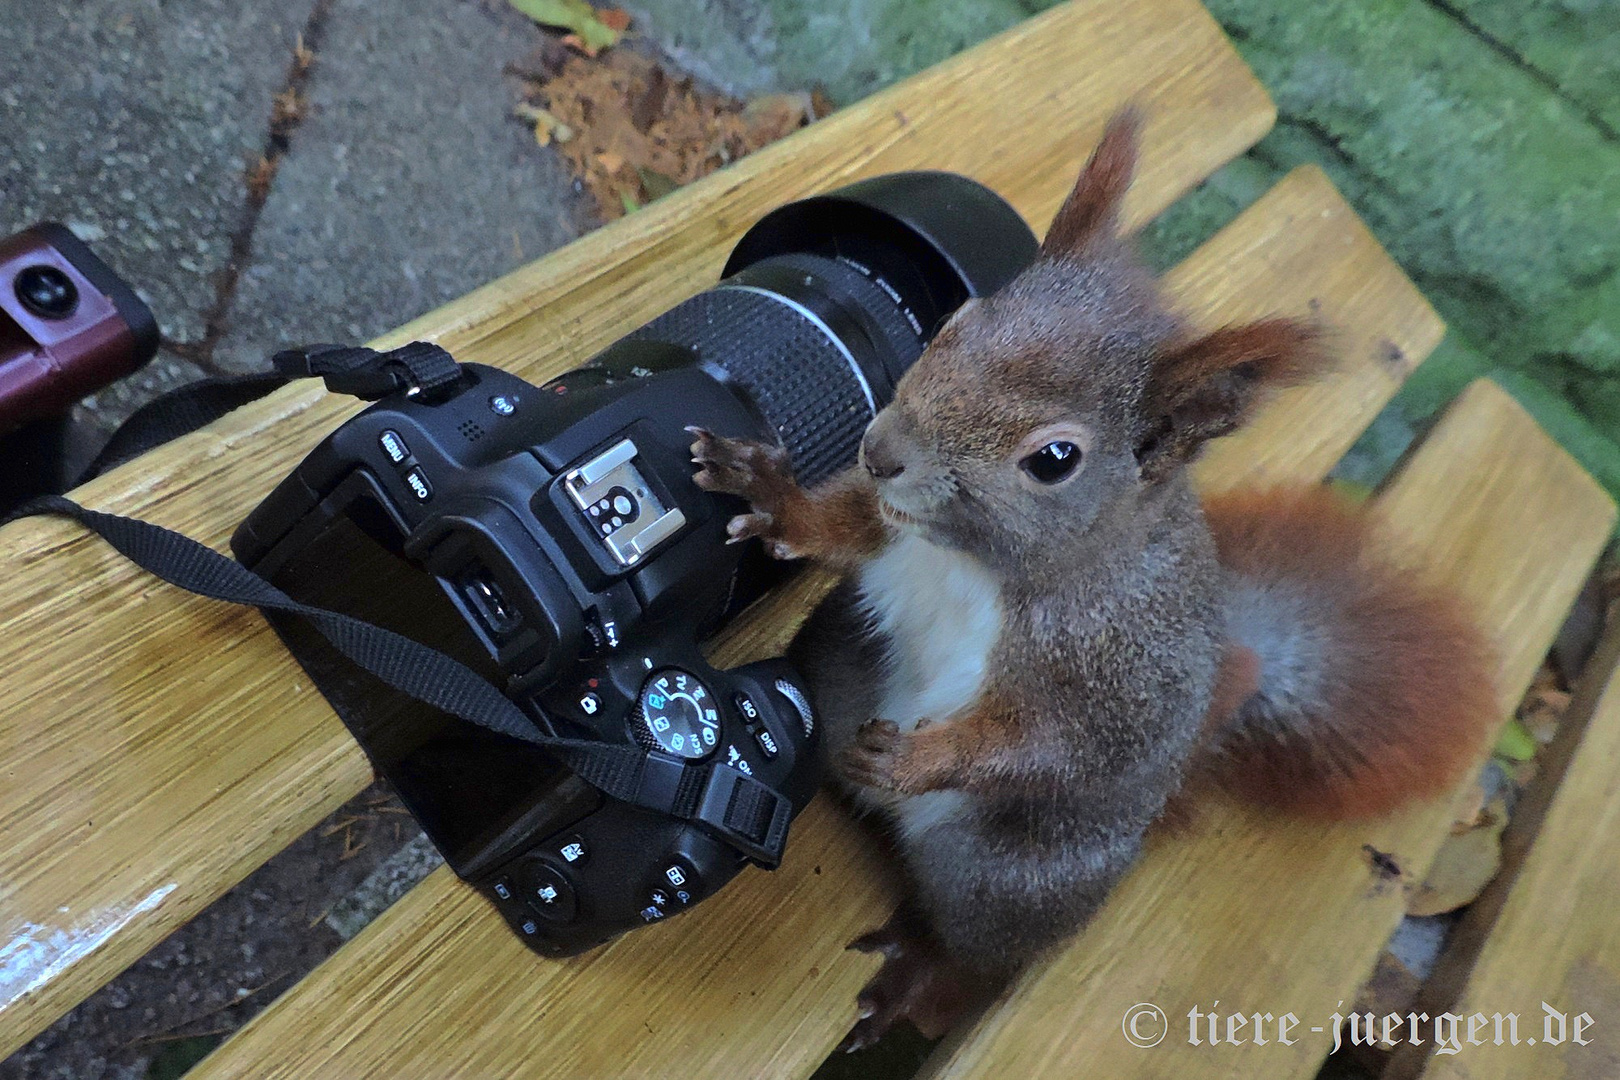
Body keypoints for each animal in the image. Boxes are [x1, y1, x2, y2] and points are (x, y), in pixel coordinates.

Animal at [683, 110, 1490, 1049]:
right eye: (954, 323)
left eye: (1055, 459)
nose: (881, 451)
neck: (982, 561)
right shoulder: (894, 529)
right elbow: (843, 527)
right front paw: (772, 495)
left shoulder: (1123, 665)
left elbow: (1061, 744)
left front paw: (922, 756)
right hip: (838, 667)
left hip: (1008, 880)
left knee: (977, 950)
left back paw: (918, 974)